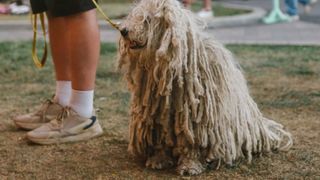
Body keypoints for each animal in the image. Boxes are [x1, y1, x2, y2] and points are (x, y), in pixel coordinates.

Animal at [117, 0, 292, 175]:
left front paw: (189, 165)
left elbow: (193, 142)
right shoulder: (156, 114)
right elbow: (160, 137)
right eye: (134, 15)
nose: (123, 30)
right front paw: (158, 159)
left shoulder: (196, 119)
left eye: (147, 19)